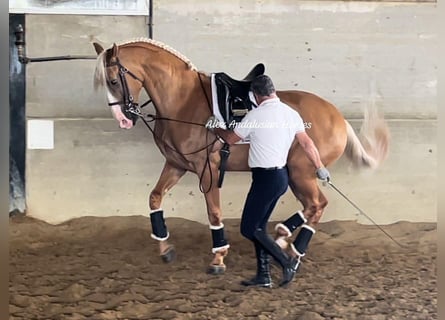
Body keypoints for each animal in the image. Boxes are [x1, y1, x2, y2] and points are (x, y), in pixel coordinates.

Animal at [93, 37, 388, 272]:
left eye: (113, 80)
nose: (123, 120)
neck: (184, 101)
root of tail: (338, 117)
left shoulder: (208, 169)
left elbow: (213, 212)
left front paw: (218, 257)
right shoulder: (176, 165)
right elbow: (155, 198)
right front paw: (165, 249)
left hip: (301, 173)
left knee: (317, 204)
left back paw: (291, 247)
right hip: (298, 175)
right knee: (313, 206)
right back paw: (282, 238)